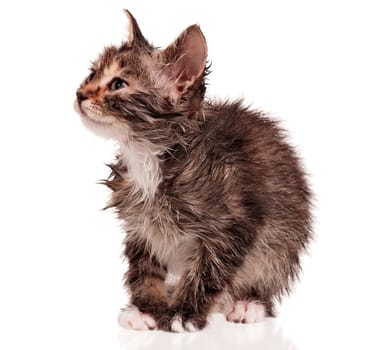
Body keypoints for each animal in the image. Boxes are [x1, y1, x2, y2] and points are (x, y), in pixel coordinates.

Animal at [75, 9, 314, 332]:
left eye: (118, 84)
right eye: (91, 75)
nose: (79, 94)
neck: (148, 155)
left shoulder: (234, 224)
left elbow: (208, 271)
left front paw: (184, 313)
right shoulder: (141, 225)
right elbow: (144, 268)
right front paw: (146, 309)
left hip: (282, 242)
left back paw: (248, 304)